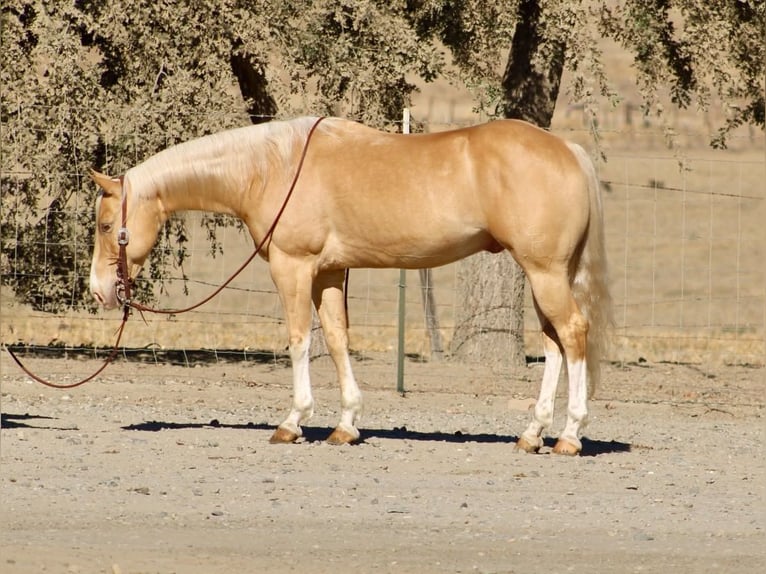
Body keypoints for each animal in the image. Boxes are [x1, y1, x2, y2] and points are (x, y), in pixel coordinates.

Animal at [89, 116, 612, 455]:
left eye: (103, 223)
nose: (99, 290)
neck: (273, 168)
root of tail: (568, 151)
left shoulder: (294, 268)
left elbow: (299, 340)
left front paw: (293, 421)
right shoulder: (329, 274)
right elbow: (338, 341)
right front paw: (346, 424)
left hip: (544, 273)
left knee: (572, 334)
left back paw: (569, 436)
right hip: (544, 275)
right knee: (553, 344)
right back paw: (532, 434)